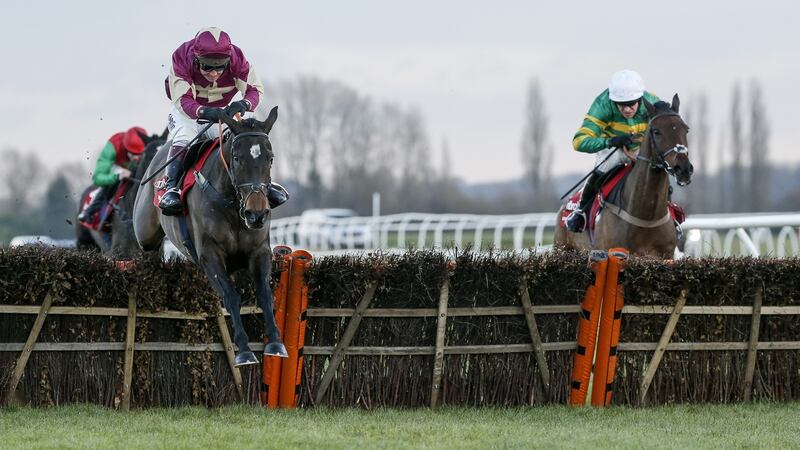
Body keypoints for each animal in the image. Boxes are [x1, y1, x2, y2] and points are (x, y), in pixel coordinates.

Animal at [556, 96, 692, 258]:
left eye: (686, 129)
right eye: (656, 131)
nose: (683, 169)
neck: (646, 218)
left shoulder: (665, 255)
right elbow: (581, 138)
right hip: (563, 247)